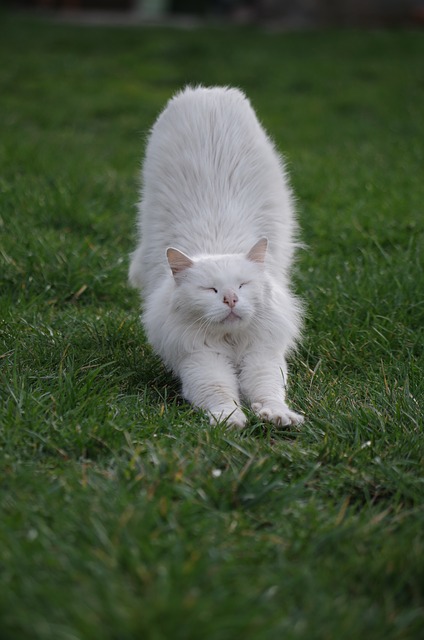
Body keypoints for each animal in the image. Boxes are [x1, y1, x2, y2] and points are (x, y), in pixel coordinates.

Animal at [127, 84, 304, 424]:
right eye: (210, 290)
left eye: (243, 286)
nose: (231, 300)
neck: (230, 341)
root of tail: (207, 91)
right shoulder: (200, 358)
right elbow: (218, 392)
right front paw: (230, 421)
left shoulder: (262, 354)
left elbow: (268, 389)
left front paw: (278, 416)